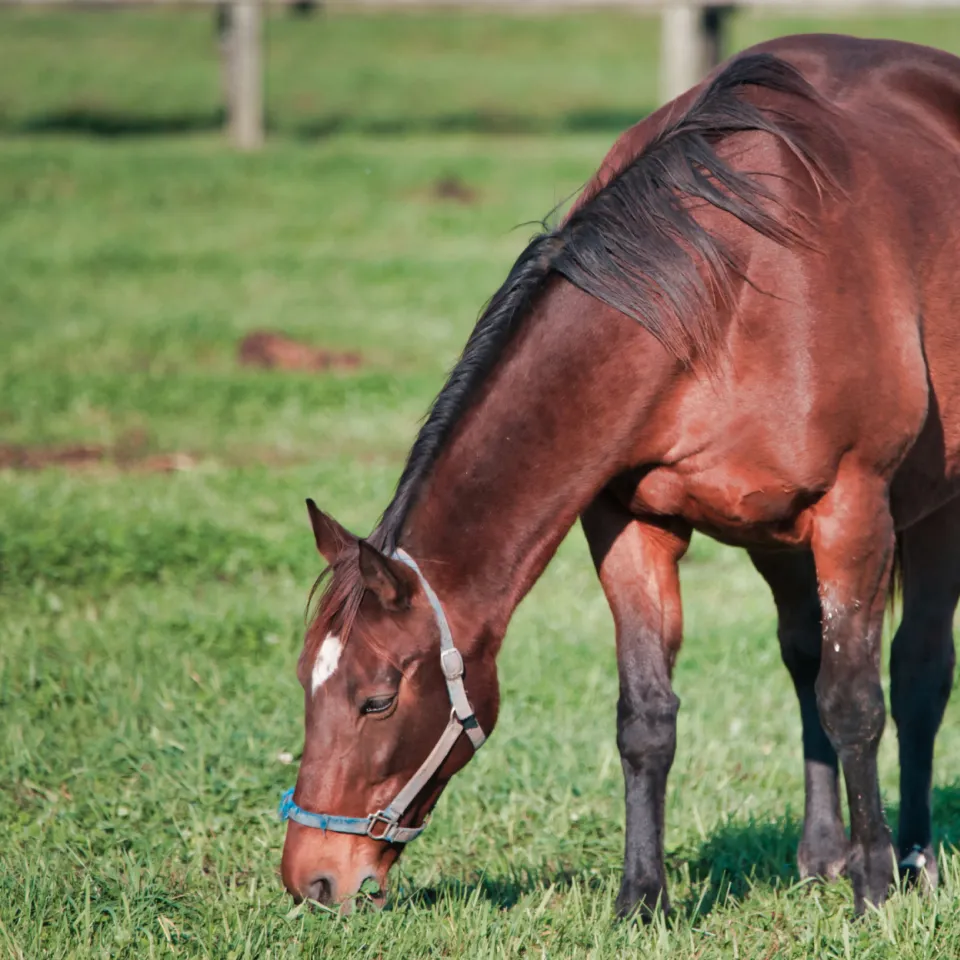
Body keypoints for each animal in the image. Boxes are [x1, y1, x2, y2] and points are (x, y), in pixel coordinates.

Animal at [280, 34, 960, 918]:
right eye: (306, 681)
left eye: (377, 698)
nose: (313, 877)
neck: (729, 295)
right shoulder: (629, 523)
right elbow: (646, 715)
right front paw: (642, 896)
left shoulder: (854, 511)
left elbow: (856, 702)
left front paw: (875, 888)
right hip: (773, 536)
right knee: (804, 657)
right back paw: (821, 854)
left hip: (931, 509)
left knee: (916, 674)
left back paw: (912, 856)